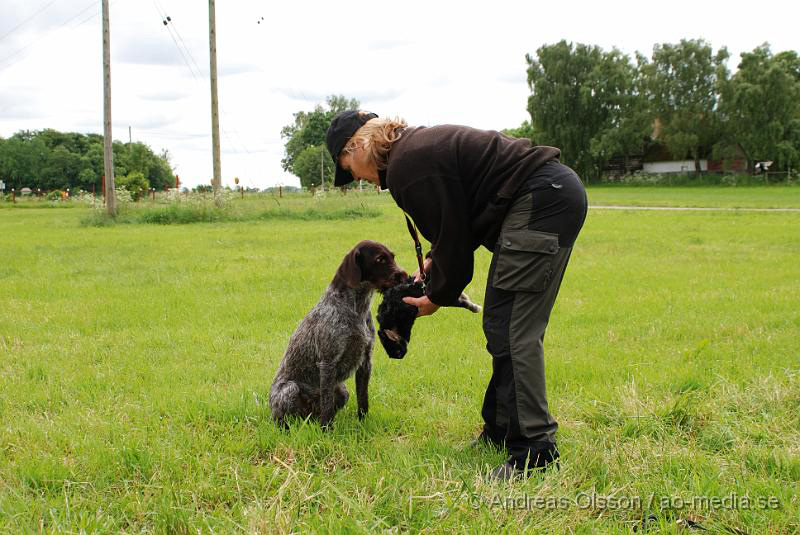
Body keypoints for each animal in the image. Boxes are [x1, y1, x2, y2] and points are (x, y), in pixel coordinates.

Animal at [270, 241, 406, 430]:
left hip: (342, 391)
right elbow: (327, 403)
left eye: (392, 257)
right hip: (290, 390)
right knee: (283, 417)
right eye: (380, 259)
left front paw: (363, 423)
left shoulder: (365, 361)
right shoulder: (328, 363)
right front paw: (326, 430)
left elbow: (363, 399)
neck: (356, 307)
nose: (404, 276)